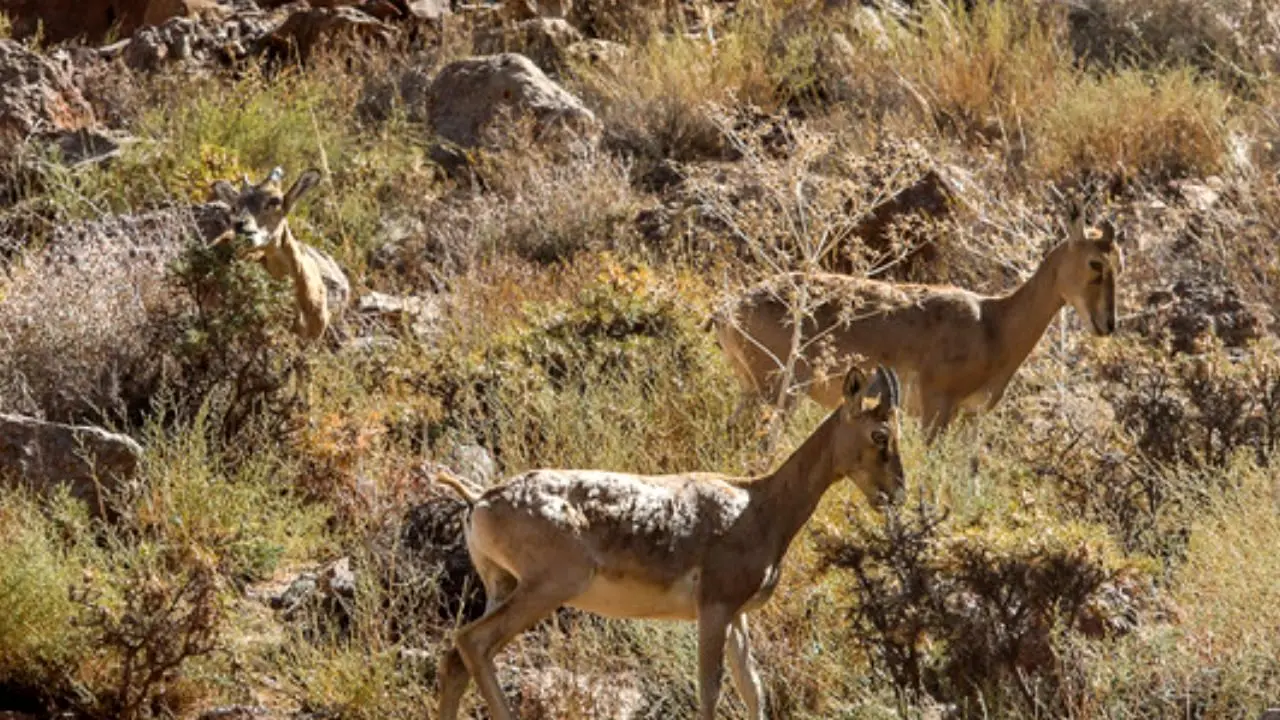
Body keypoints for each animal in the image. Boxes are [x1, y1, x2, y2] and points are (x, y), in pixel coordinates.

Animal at [435, 363, 906, 717]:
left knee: (458, 659)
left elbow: (753, 690)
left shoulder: (736, 617)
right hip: (546, 588)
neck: (758, 503)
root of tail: (480, 499)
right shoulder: (715, 609)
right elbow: (710, 692)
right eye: (880, 434)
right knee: (472, 643)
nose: (896, 493)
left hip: (503, 587)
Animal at [716, 198, 1126, 440]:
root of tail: (728, 311)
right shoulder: (936, 408)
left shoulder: (969, 419)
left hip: (754, 390)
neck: (992, 324)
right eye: (1095, 263)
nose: (1107, 325)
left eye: (1118, 261)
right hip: (777, 393)